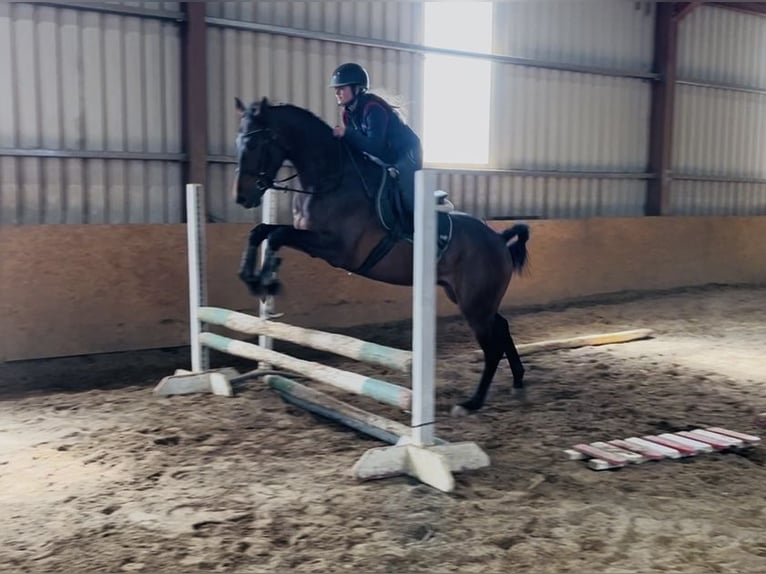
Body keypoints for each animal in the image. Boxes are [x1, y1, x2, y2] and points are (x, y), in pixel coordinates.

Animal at [232, 96, 530, 416]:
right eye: (238, 142)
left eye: (253, 144)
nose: (242, 197)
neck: (330, 179)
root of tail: (498, 239)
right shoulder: (307, 237)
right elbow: (261, 231)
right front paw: (252, 279)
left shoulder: (335, 248)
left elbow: (276, 235)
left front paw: (266, 283)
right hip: (471, 298)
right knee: (502, 328)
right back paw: (518, 381)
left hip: (475, 304)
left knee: (492, 346)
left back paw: (472, 402)